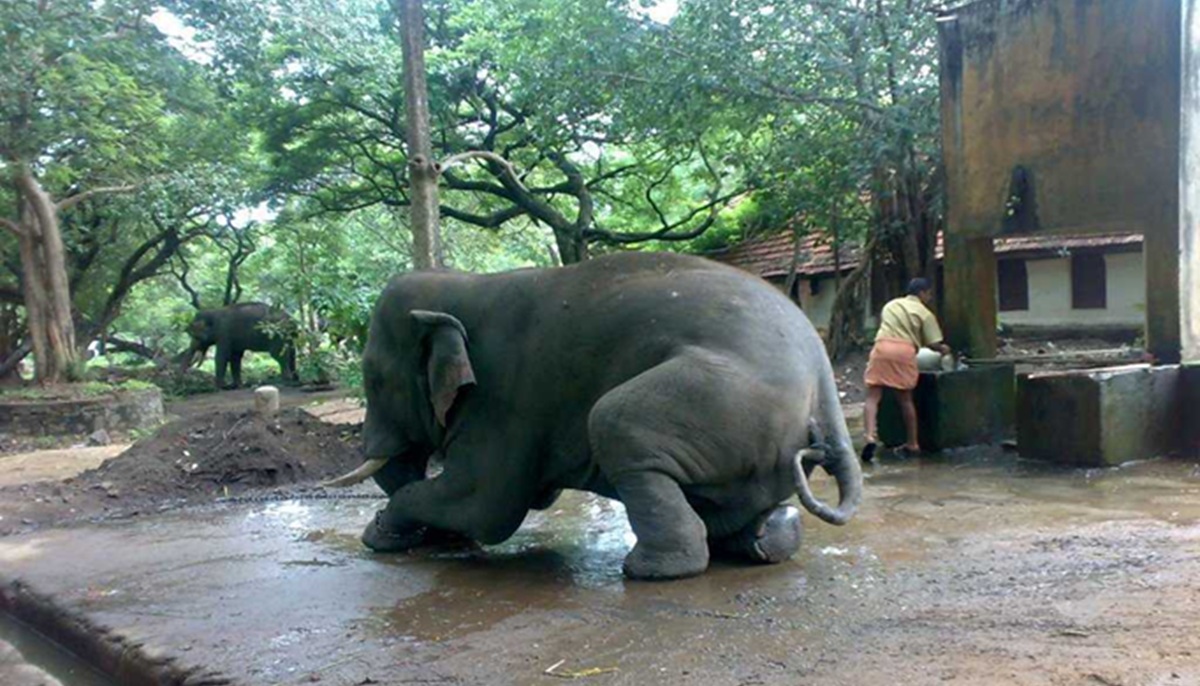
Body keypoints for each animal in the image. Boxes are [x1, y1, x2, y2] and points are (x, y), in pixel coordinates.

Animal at [327, 252, 863, 580]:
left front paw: (380, 535)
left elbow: (485, 504)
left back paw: (647, 569)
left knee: (614, 421)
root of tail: (824, 381)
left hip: (723, 397)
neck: (462, 285)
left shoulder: (503, 401)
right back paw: (765, 540)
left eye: (374, 379)